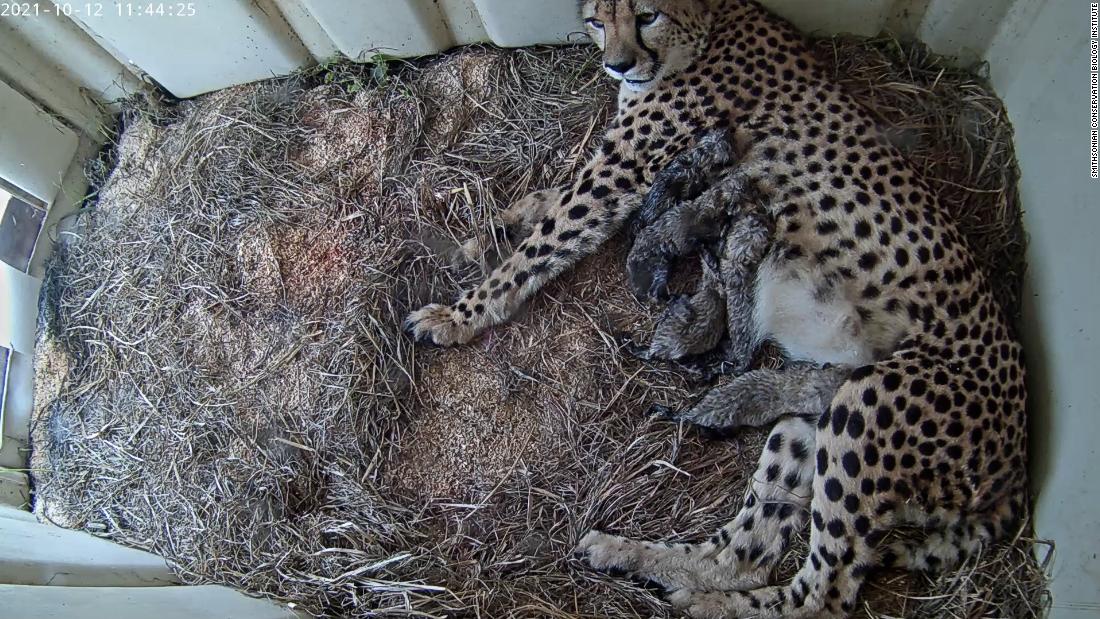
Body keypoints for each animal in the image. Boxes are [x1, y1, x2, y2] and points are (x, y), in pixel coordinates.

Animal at [409, 2, 1025, 615]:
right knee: (744, 555)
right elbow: (546, 203)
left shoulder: (622, 171)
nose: (618, 64)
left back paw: (704, 598)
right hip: (817, 404)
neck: (708, 29)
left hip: (868, 405)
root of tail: (1017, 453)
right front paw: (482, 235)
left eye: (647, 15)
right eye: (596, 20)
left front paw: (459, 315)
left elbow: (545, 240)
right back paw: (636, 558)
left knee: (826, 592)